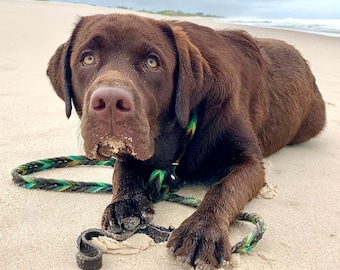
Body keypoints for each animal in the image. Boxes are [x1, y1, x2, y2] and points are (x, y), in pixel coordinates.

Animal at [46, 13, 326, 266]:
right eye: (88, 58)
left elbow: (224, 188)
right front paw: (125, 203)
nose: (111, 101)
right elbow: (122, 169)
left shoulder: (249, 161)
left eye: (152, 62)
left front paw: (202, 230)